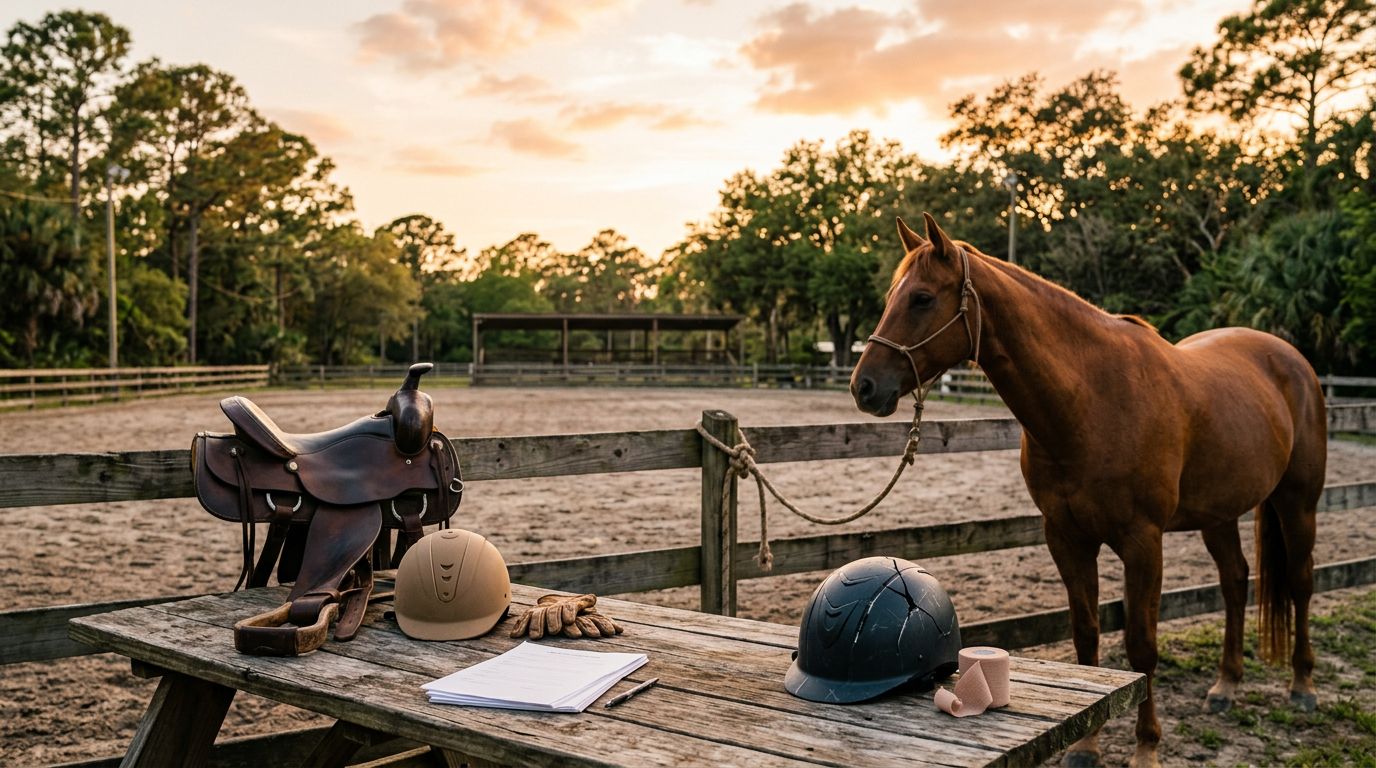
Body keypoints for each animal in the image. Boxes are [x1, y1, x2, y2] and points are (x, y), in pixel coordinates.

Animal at [851, 213, 1326, 768]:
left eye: (922, 298)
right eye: (893, 295)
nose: (864, 386)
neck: (1092, 399)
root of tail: (1291, 359)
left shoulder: (1143, 542)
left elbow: (1142, 648)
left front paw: (1146, 747)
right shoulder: (1067, 538)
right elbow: (1087, 637)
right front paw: (1085, 745)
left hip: (1298, 503)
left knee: (1300, 582)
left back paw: (1303, 686)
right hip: (1219, 514)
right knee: (1234, 581)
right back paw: (1225, 687)